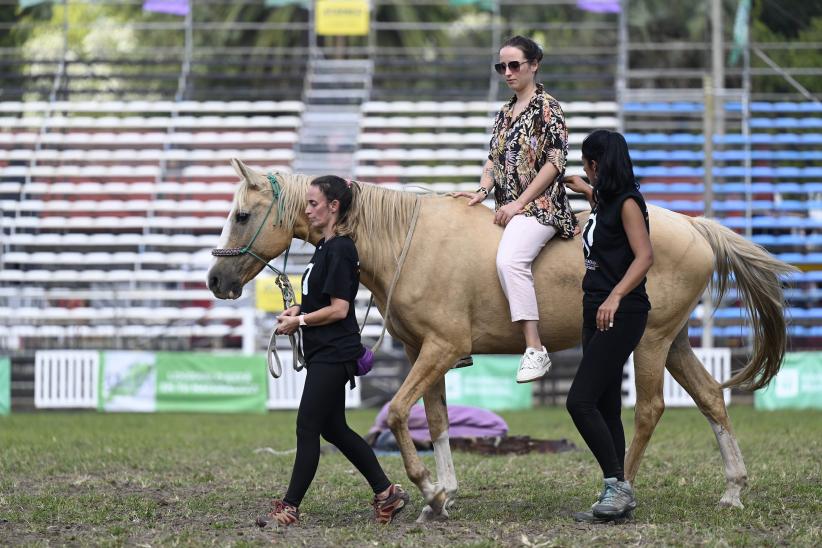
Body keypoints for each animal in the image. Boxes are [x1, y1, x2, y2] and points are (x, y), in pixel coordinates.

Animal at [209, 159, 796, 524]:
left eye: (241, 215)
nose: (216, 281)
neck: (405, 240)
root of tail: (696, 228)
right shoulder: (429, 354)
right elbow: (437, 422)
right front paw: (440, 499)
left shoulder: (441, 349)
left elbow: (398, 414)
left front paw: (427, 489)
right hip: (673, 342)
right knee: (711, 399)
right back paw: (732, 489)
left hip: (649, 342)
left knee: (650, 410)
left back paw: (620, 493)